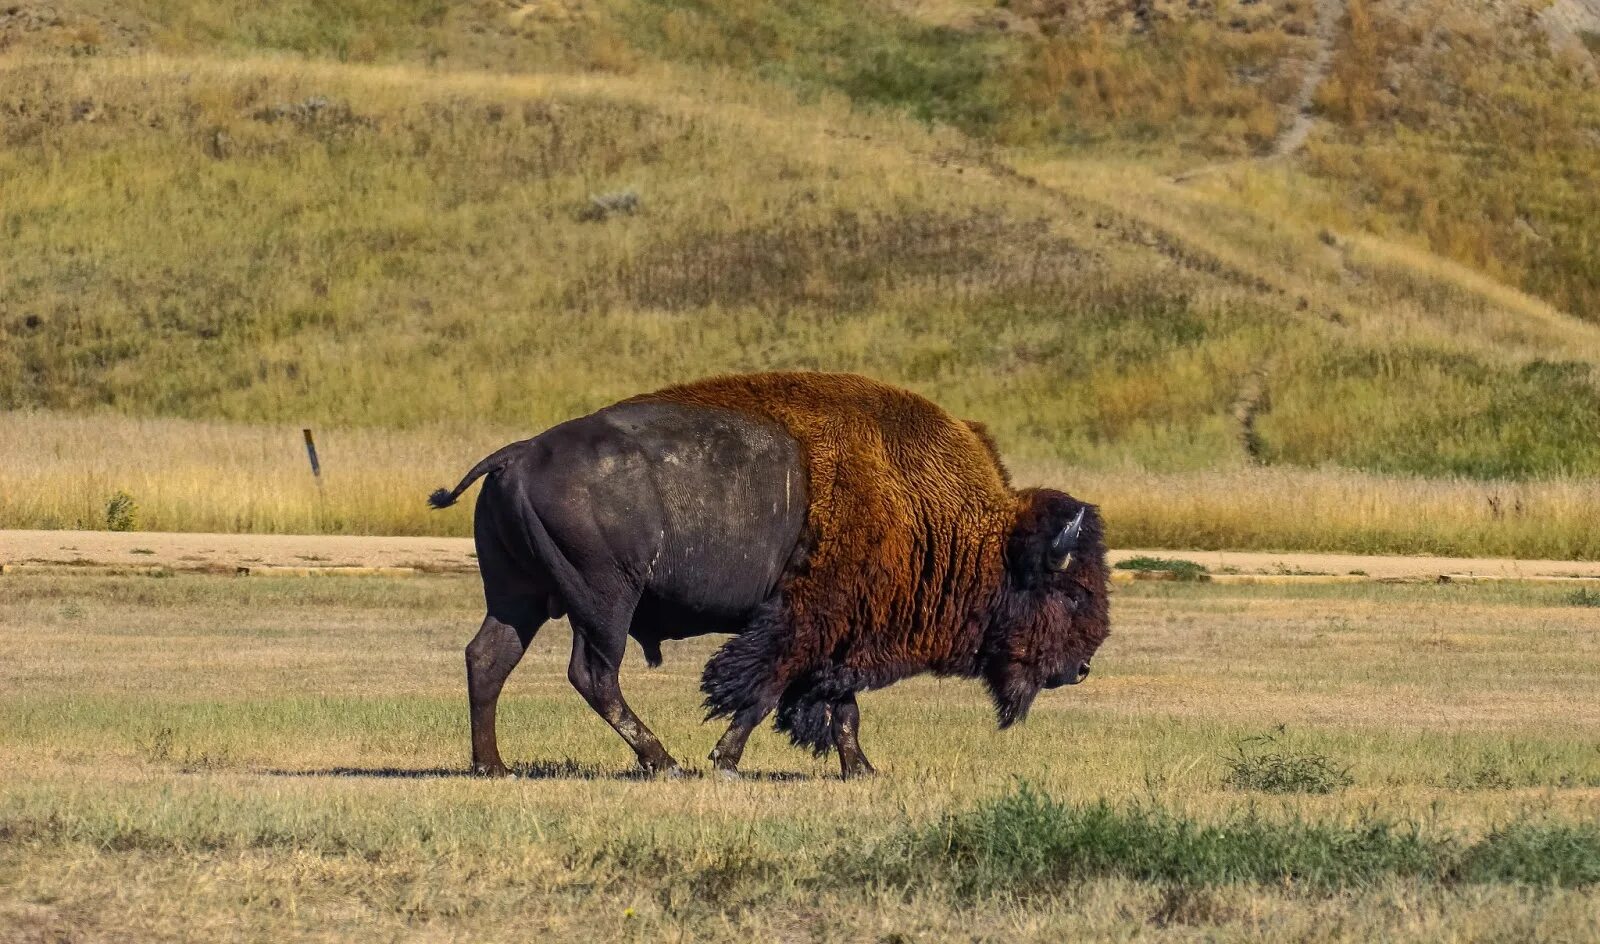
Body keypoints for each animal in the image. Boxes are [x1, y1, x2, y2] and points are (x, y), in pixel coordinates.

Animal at [432, 374, 1120, 780]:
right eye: (1072, 592)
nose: (1081, 668)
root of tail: (519, 452)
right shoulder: (804, 622)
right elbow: (764, 692)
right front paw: (725, 761)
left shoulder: (841, 636)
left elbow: (840, 707)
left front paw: (862, 770)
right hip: (604, 601)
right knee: (592, 674)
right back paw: (663, 761)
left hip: (520, 596)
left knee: (488, 658)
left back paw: (493, 766)